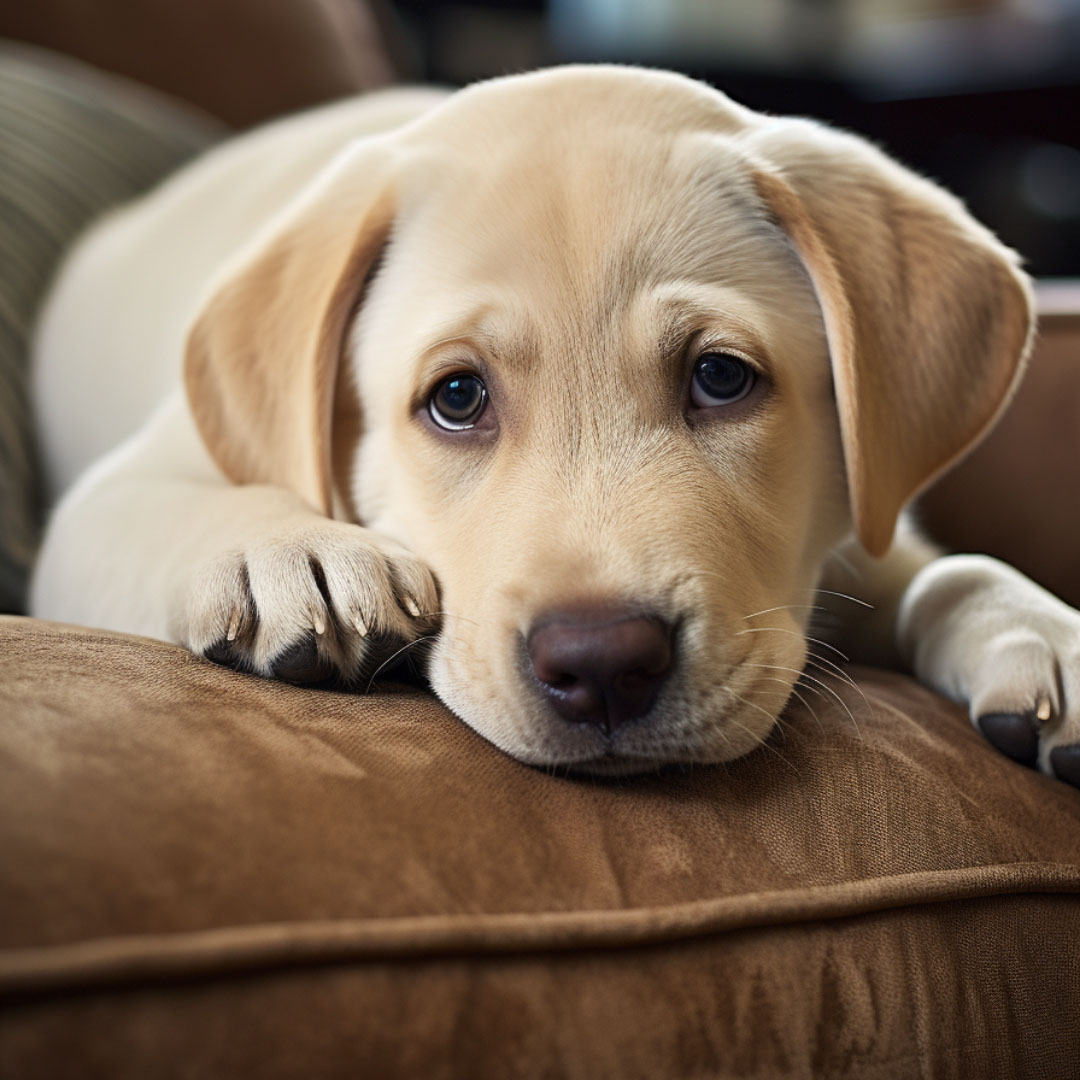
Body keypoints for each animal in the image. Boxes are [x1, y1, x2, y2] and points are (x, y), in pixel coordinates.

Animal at [29, 63, 1080, 781]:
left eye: (720, 378)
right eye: (457, 398)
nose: (603, 664)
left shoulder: (863, 524)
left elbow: (952, 567)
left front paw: (1040, 631)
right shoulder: (107, 504)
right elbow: (181, 504)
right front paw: (296, 552)